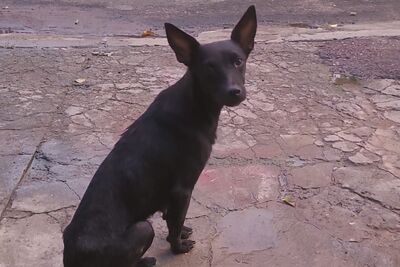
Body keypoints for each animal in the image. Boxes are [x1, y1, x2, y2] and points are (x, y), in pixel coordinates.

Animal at [62, 6, 256, 267]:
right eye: (209, 68)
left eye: (238, 61)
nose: (234, 92)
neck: (194, 103)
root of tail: (69, 256)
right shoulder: (182, 189)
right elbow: (174, 224)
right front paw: (178, 247)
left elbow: (173, 218)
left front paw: (183, 231)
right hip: (143, 228)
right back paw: (146, 261)